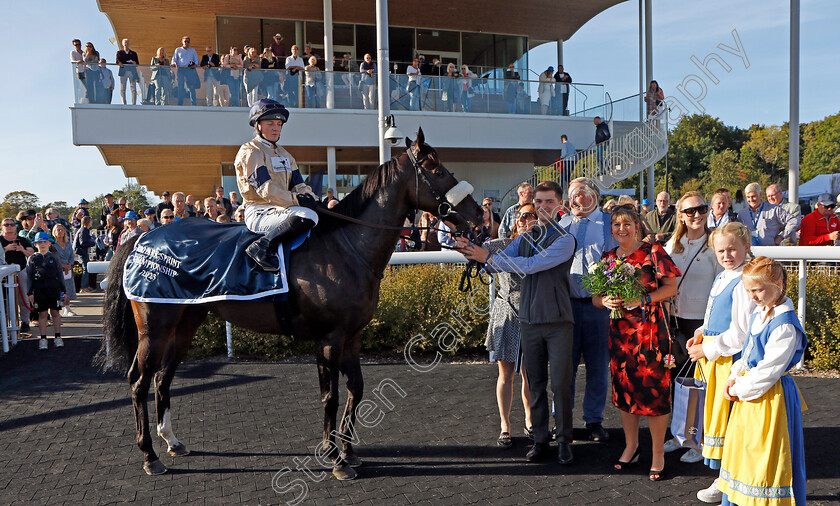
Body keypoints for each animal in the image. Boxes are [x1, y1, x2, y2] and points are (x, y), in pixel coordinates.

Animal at [99, 128, 482, 480]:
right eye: (437, 171)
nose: (478, 218)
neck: (345, 246)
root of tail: (142, 237)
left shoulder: (352, 336)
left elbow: (356, 389)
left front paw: (349, 451)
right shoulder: (329, 337)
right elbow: (330, 395)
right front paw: (335, 458)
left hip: (185, 323)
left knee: (163, 376)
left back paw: (173, 441)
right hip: (154, 329)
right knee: (139, 381)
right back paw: (150, 455)